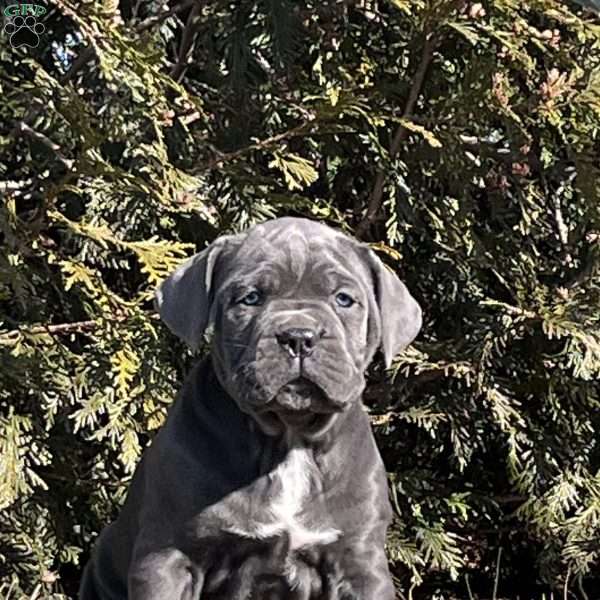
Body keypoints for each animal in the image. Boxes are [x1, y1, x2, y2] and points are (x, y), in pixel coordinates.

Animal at [79, 217, 422, 600]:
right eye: (251, 298)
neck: (289, 436)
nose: (299, 335)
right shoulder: (169, 556)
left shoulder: (358, 563)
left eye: (344, 299)